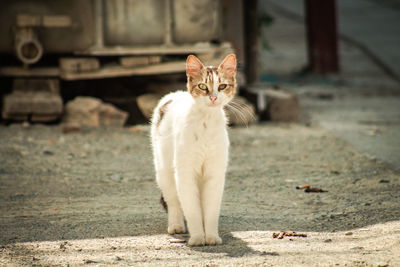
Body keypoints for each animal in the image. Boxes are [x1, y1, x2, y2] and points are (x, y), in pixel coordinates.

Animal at [152, 54, 236, 247]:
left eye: (222, 86)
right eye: (202, 86)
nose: (213, 97)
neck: (206, 121)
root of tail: (175, 94)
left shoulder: (214, 173)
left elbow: (210, 210)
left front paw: (211, 236)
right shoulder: (185, 173)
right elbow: (192, 209)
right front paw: (198, 237)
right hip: (165, 172)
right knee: (174, 202)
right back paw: (176, 226)